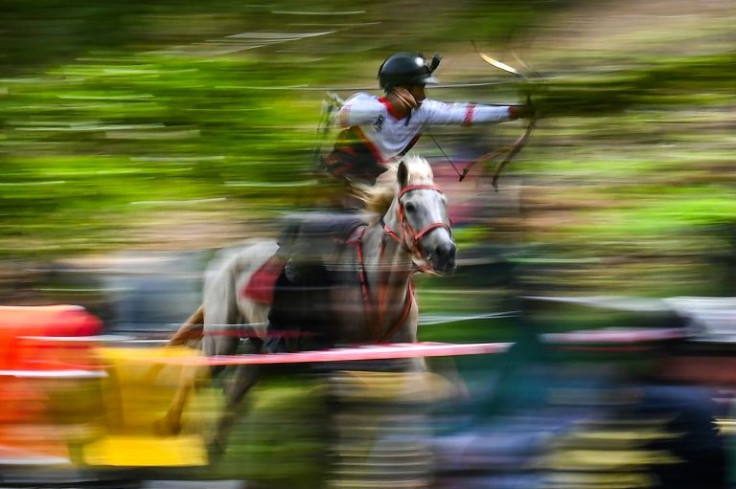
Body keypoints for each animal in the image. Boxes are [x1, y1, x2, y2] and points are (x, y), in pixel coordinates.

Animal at [164, 154, 458, 448]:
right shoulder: (346, 362)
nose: (445, 253)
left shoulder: (404, 357)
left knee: (231, 400)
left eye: (443, 201)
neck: (378, 286)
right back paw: (172, 427)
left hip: (257, 353)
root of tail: (224, 260)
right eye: (410, 206)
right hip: (221, 341)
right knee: (194, 376)